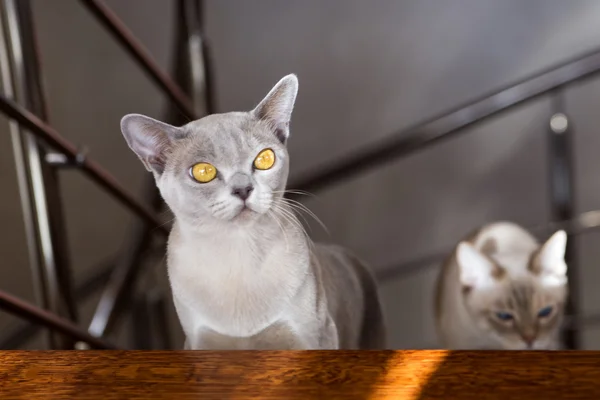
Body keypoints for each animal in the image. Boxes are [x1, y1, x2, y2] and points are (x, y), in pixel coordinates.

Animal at [119, 75, 386, 350]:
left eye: (264, 159)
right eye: (203, 172)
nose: (243, 189)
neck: (238, 253)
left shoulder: (316, 337)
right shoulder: (199, 345)